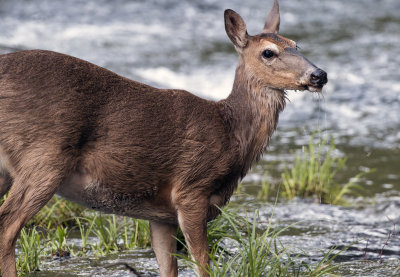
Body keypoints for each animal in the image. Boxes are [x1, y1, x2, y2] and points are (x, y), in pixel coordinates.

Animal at [0, 0, 326, 276]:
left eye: (296, 45)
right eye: (268, 52)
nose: (319, 74)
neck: (231, 131)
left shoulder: (161, 215)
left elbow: (168, 267)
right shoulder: (191, 188)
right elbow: (202, 264)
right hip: (44, 156)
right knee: (7, 226)